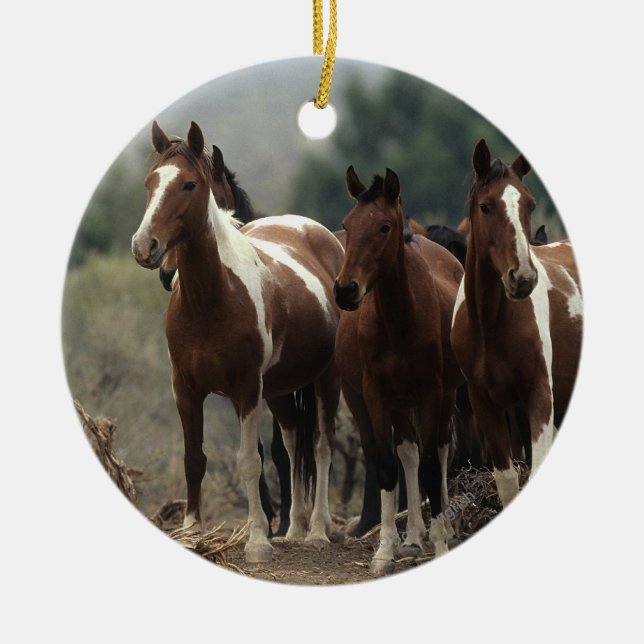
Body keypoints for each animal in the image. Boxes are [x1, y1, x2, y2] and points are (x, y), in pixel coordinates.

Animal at [131, 121, 344, 563]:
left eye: (190, 184)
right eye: (150, 182)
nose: (145, 247)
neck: (211, 298)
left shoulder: (246, 389)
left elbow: (250, 461)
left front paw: (258, 540)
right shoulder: (186, 389)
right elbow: (194, 459)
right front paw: (192, 531)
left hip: (326, 379)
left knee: (321, 446)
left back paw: (317, 530)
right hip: (280, 390)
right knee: (292, 441)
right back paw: (294, 528)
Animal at [334, 167, 464, 574]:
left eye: (384, 227)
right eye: (347, 224)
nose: (345, 290)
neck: (397, 321)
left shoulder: (431, 392)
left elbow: (430, 466)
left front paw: (440, 543)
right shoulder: (375, 395)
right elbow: (390, 465)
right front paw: (385, 551)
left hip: (444, 394)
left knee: (439, 450)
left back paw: (442, 530)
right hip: (393, 401)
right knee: (408, 452)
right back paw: (412, 538)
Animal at [451, 139, 583, 507]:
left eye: (530, 204)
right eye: (485, 206)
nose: (522, 277)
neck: (492, 327)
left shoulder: (540, 398)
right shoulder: (485, 405)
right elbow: (507, 481)